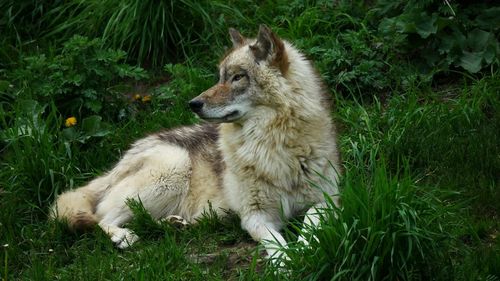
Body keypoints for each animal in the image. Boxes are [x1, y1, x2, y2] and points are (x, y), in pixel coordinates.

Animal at [51, 25, 340, 262]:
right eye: (220, 77)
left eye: (237, 77)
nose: (193, 103)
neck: (271, 143)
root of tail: (120, 161)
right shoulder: (255, 215)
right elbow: (276, 243)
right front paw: (287, 263)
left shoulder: (328, 201)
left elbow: (311, 225)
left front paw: (305, 251)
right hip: (173, 169)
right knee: (101, 218)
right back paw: (123, 236)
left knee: (144, 220)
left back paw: (175, 224)